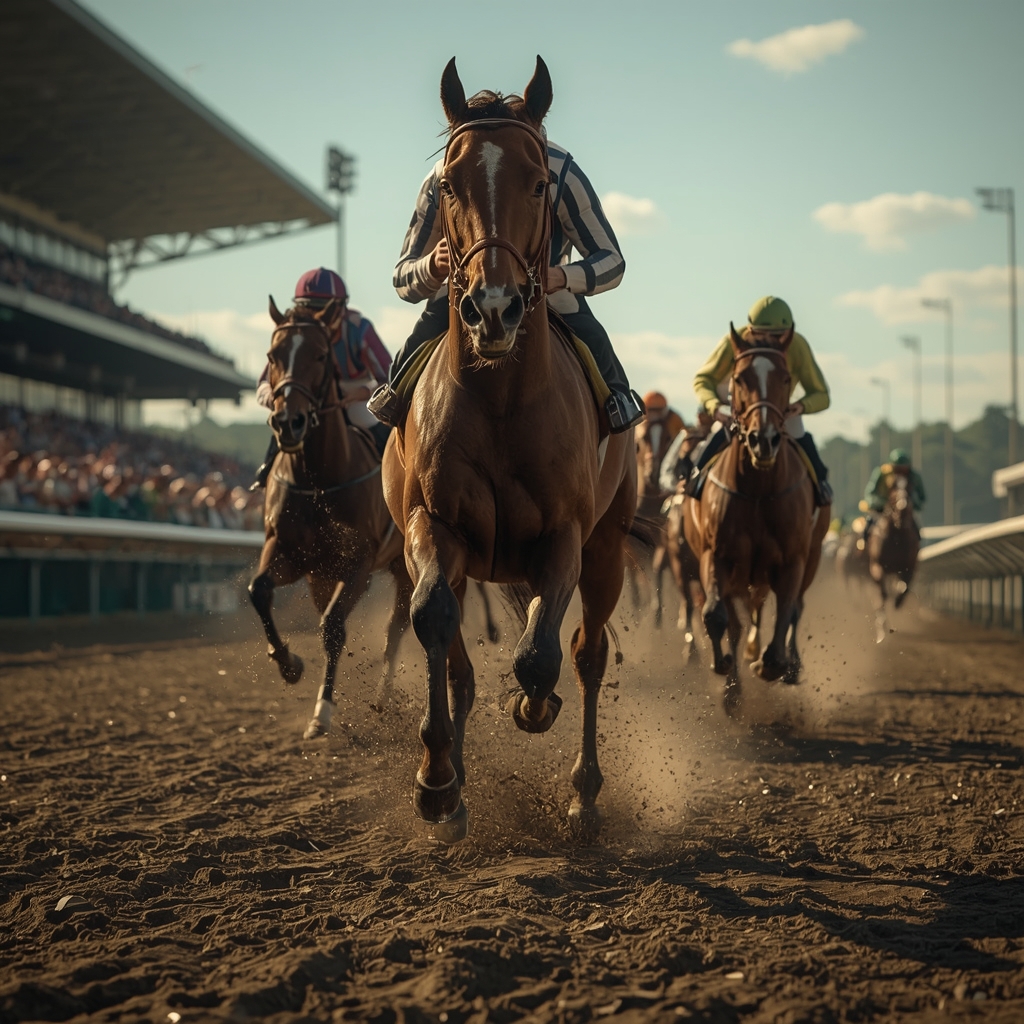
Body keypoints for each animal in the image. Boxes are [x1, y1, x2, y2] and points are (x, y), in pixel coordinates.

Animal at [248, 298, 413, 740]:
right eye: (273, 355)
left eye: (321, 355)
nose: (289, 422)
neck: (317, 480)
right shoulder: (287, 551)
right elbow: (258, 591)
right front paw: (289, 663)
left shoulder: (358, 564)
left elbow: (333, 627)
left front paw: (322, 711)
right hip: (320, 576)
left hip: (402, 565)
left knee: (396, 627)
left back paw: (383, 696)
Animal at [381, 57, 639, 842]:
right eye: (449, 185)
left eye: (537, 182)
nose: (492, 309)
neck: (500, 402)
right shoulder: (434, 526)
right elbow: (435, 623)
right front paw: (437, 783)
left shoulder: (567, 535)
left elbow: (539, 655)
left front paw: (533, 706)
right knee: (462, 657)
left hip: (610, 545)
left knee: (588, 654)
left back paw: (584, 793)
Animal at [683, 326, 830, 712]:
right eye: (739, 378)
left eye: (786, 377)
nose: (763, 440)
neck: (759, 489)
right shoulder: (716, 555)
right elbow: (716, 614)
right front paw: (725, 669)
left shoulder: (793, 559)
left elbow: (787, 611)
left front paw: (773, 663)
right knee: (736, 618)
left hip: (811, 558)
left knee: (794, 608)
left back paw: (789, 666)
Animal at [867, 475, 920, 642]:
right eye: (892, 488)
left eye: (910, 487)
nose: (903, 508)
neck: (896, 534)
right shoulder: (877, 566)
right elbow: (883, 594)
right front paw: (881, 627)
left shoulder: (909, 566)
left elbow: (905, 587)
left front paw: (897, 601)